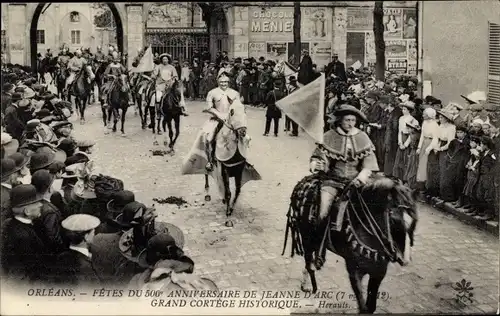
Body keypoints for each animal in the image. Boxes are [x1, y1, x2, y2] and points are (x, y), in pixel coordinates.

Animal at [284, 175, 420, 314]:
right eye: (394, 220)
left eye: (414, 221)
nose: (404, 259)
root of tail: (304, 182)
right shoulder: (354, 270)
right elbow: (363, 307)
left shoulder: (379, 272)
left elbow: (371, 307)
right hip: (306, 238)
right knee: (309, 263)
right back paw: (311, 286)